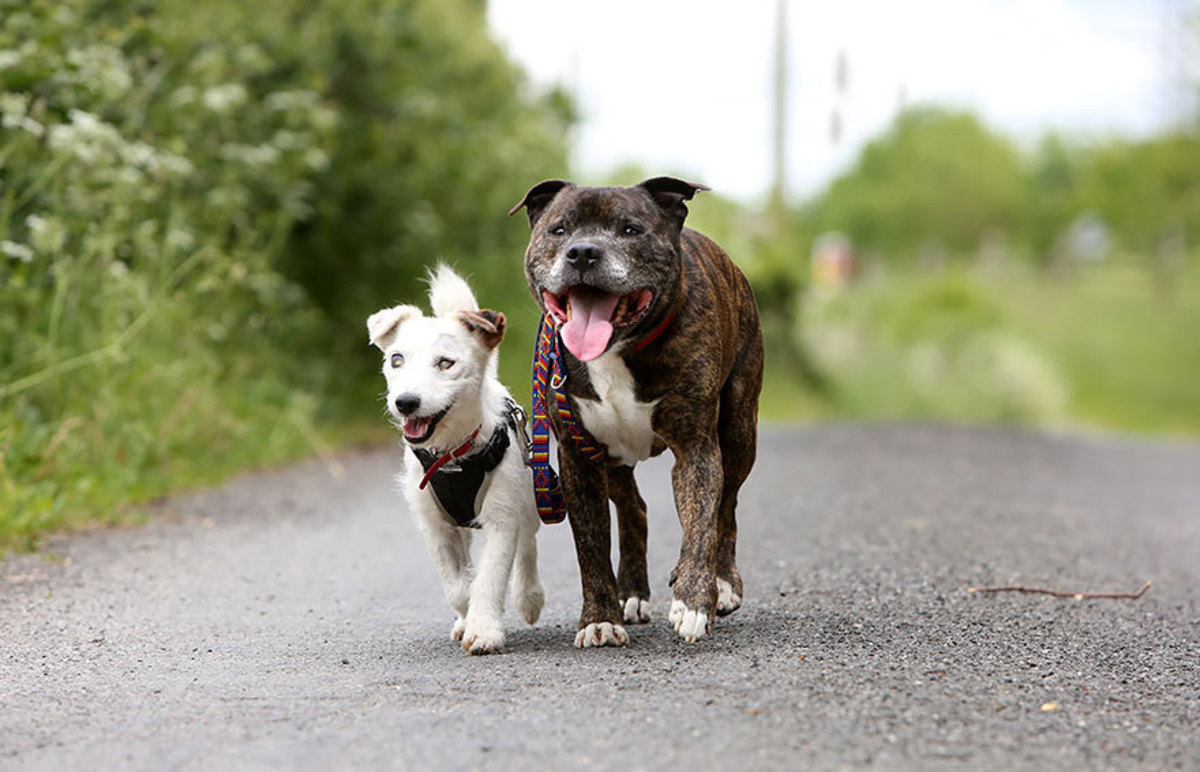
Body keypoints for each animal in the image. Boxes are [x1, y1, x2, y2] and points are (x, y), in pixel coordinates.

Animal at [367, 265, 547, 653]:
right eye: (396, 359)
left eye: (446, 362)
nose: (406, 402)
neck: (452, 455)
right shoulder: (436, 525)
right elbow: (458, 585)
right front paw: (467, 618)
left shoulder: (501, 517)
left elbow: (490, 575)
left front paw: (484, 631)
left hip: (527, 498)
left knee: (528, 545)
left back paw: (529, 597)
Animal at [511, 175, 763, 648]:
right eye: (559, 230)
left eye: (631, 230)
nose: (582, 252)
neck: (617, 350)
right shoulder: (578, 458)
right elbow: (590, 546)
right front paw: (599, 619)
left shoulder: (697, 448)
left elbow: (702, 522)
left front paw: (694, 602)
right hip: (611, 459)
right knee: (634, 510)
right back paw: (630, 593)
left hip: (740, 430)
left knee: (727, 505)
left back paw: (721, 583)